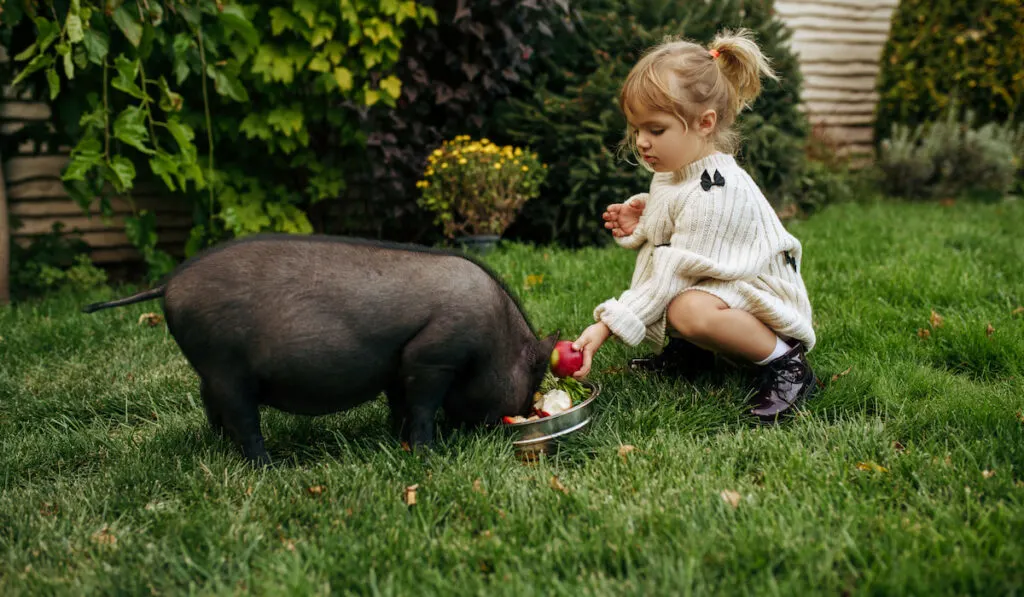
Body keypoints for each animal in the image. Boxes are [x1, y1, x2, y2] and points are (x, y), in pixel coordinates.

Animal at [81, 234, 561, 466]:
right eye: (533, 376)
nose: (522, 413)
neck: (495, 336)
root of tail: (169, 284)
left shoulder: (399, 367)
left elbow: (401, 406)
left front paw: (398, 440)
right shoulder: (432, 357)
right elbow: (423, 408)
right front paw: (427, 453)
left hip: (209, 371)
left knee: (212, 407)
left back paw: (218, 446)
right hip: (227, 367)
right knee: (243, 419)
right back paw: (271, 468)